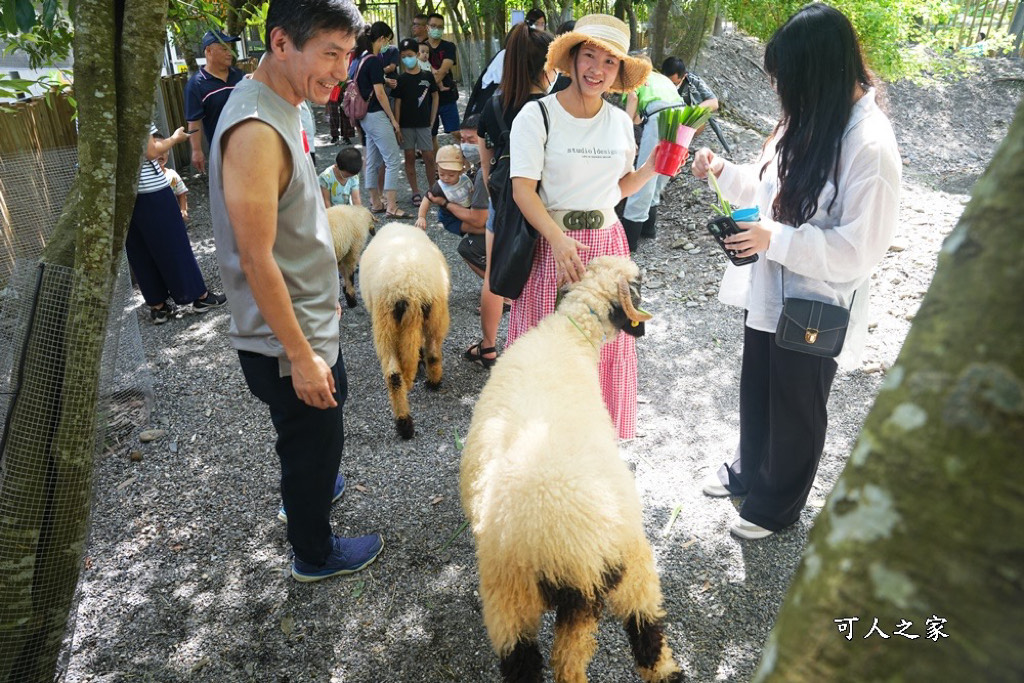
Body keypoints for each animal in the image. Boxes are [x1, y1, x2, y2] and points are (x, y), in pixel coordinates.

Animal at [358, 222, 450, 440]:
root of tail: (411, 288)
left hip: (384, 326)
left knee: (393, 375)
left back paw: (404, 424)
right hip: (435, 317)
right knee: (433, 353)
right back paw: (433, 383)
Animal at [460, 254, 684, 683]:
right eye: (639, 284)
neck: (567, 335)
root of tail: (570, 549)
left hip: (517, 602)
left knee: (544, 663)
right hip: (623, 577)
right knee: (643, 637)